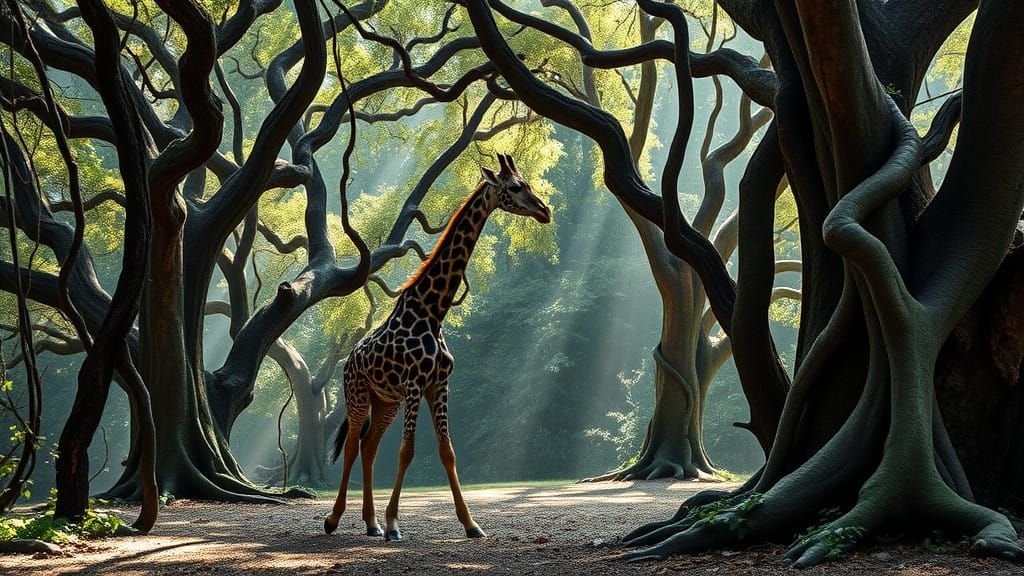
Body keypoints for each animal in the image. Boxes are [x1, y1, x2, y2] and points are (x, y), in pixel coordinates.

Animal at [323, 154, 551, 541]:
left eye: (528, 184)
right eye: (515, 186)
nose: (544, 210)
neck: (433, 311)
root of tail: (350, 357)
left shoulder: (439, 385)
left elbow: (448, 452)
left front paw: (471, 524)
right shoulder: (415, 384)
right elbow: (407, 451)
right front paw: (395, 524)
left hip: (385, 402)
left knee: (369, 448)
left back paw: (370, 524)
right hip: (357, 394)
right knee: (353, 446)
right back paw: (335, 519)